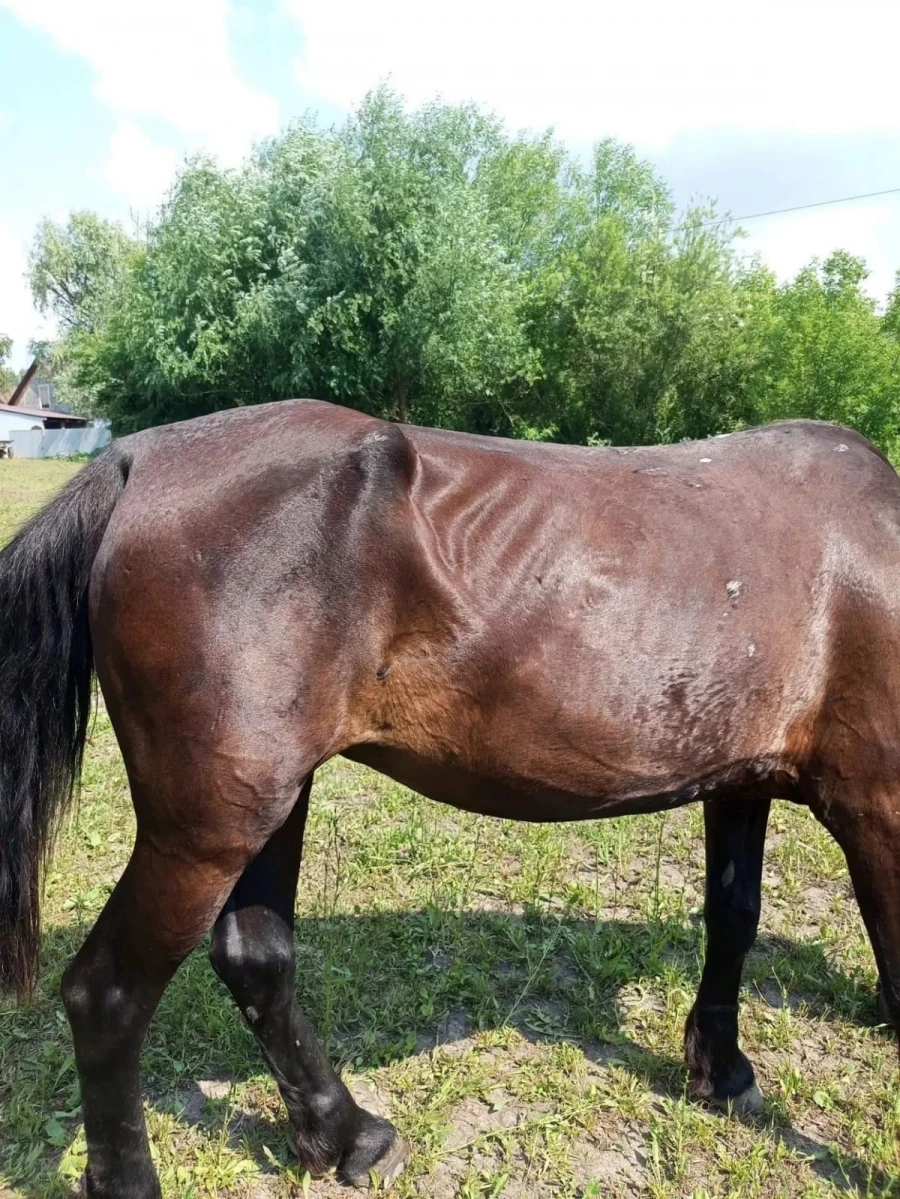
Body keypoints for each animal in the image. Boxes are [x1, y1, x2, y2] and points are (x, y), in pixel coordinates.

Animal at [1, 398, 898, 1197]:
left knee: (255, 958)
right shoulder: (878, 804)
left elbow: (733, 916)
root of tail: (139, 457)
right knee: (107, 994)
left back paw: (350, 1136)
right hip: (207, 828)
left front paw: (722, 1068)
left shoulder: (740, 781)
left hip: (266, 798)